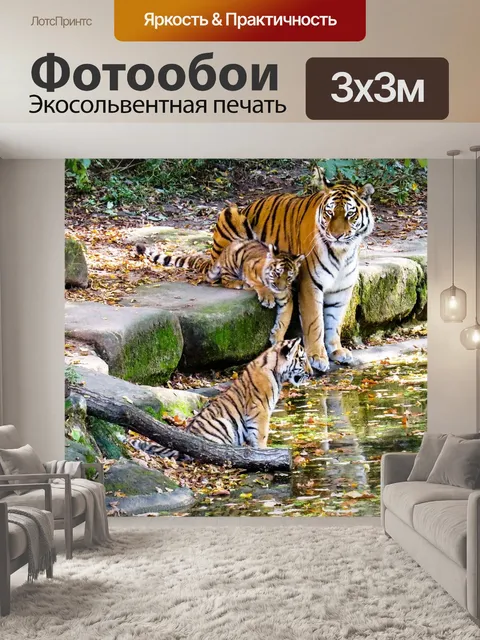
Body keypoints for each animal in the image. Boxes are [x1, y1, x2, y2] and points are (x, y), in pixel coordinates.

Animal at [128, 337, 311, 456]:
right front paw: (264, 453)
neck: (276, 371)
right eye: (302, 360)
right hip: (224, 425)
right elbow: (261, 435)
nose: (312, 373)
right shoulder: (260, 411)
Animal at [136, 237, 305, 344]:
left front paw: (277, 338)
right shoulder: (249, 266)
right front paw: (267, 297)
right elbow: (259, 284)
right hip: (233, 261)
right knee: (225, 280)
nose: (280, 287)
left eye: (289, 277)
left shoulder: (287, 299)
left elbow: (284, 321)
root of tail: (223, 252)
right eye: (277, 273)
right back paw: (240, 283)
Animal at [211, 181, 375, 373]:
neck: (343, 252)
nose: (336, 236)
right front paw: (317, 356)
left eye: (350, 214)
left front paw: (336, 350)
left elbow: (335, 321)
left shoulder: (342, 289)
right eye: (330, 213)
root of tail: (248, 205)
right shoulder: (310, 283)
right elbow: (315, 322)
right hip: (229, 216)